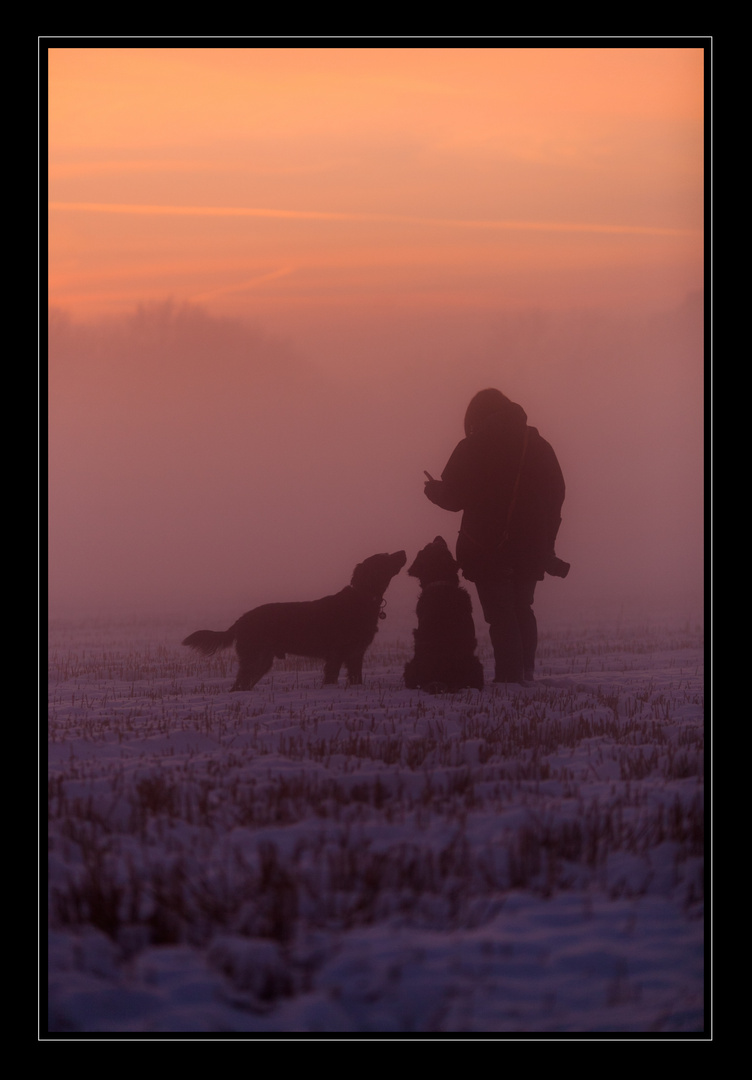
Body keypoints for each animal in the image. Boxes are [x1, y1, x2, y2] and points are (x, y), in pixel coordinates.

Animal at [181, 548, 406, 691]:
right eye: (384, 557)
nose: (403, 552)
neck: (362, 598)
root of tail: (240, 620)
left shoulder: (355, 654)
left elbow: (356, 678)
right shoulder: (336, 654)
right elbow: (331, 678)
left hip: (262, 660)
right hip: (254, 658)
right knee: (238, 685)